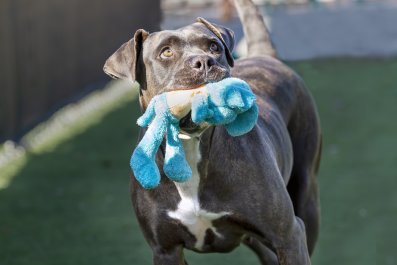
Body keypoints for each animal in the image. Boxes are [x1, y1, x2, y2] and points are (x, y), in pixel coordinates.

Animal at [103, 1, 322, 262]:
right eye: (166, 52)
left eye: (214, 47)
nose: (204, 61)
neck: (189, 144)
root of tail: (264, 55)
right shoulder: (166, 250)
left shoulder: (288, 237)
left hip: (306, 195)